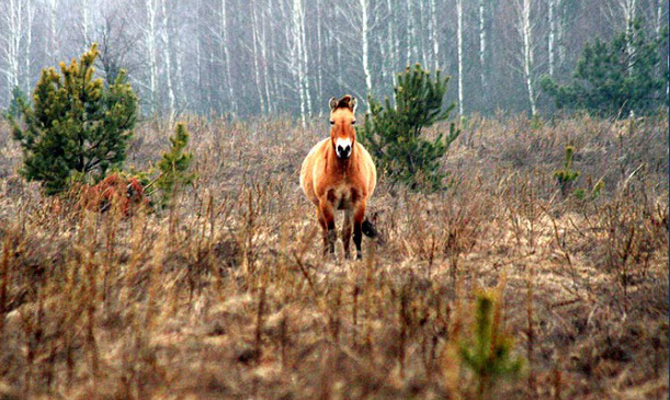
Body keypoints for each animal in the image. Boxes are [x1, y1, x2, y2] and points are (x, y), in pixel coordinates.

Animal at [300, 94, 378, 260]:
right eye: (332, 121)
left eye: (353, 121)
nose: (343, 149)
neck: (343, 170)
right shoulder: (326, 203)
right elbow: (331, 233)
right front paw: (332, 258)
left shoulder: (358, 202)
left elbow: (355, 234)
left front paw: (358, 259)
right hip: (319, 208)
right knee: (324, 232)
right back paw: (325, 256)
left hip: (347, 207)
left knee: (346, 233)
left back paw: (347, 256)